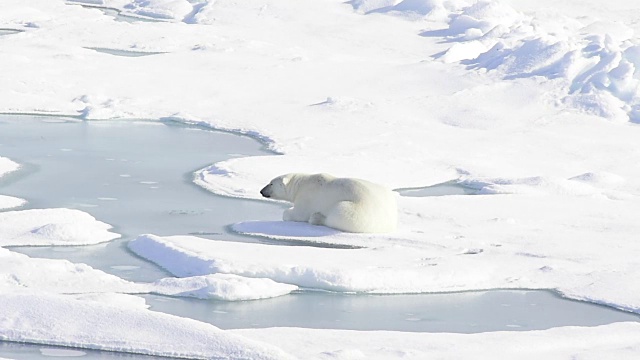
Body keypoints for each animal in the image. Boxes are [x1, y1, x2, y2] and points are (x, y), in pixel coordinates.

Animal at [258, 174, 396, 233]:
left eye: (271, 183)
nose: (261, 191)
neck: (300, 183)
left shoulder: (307, 196)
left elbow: (299, 214)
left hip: (359, 210)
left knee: (340, 213)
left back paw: (317, 217)